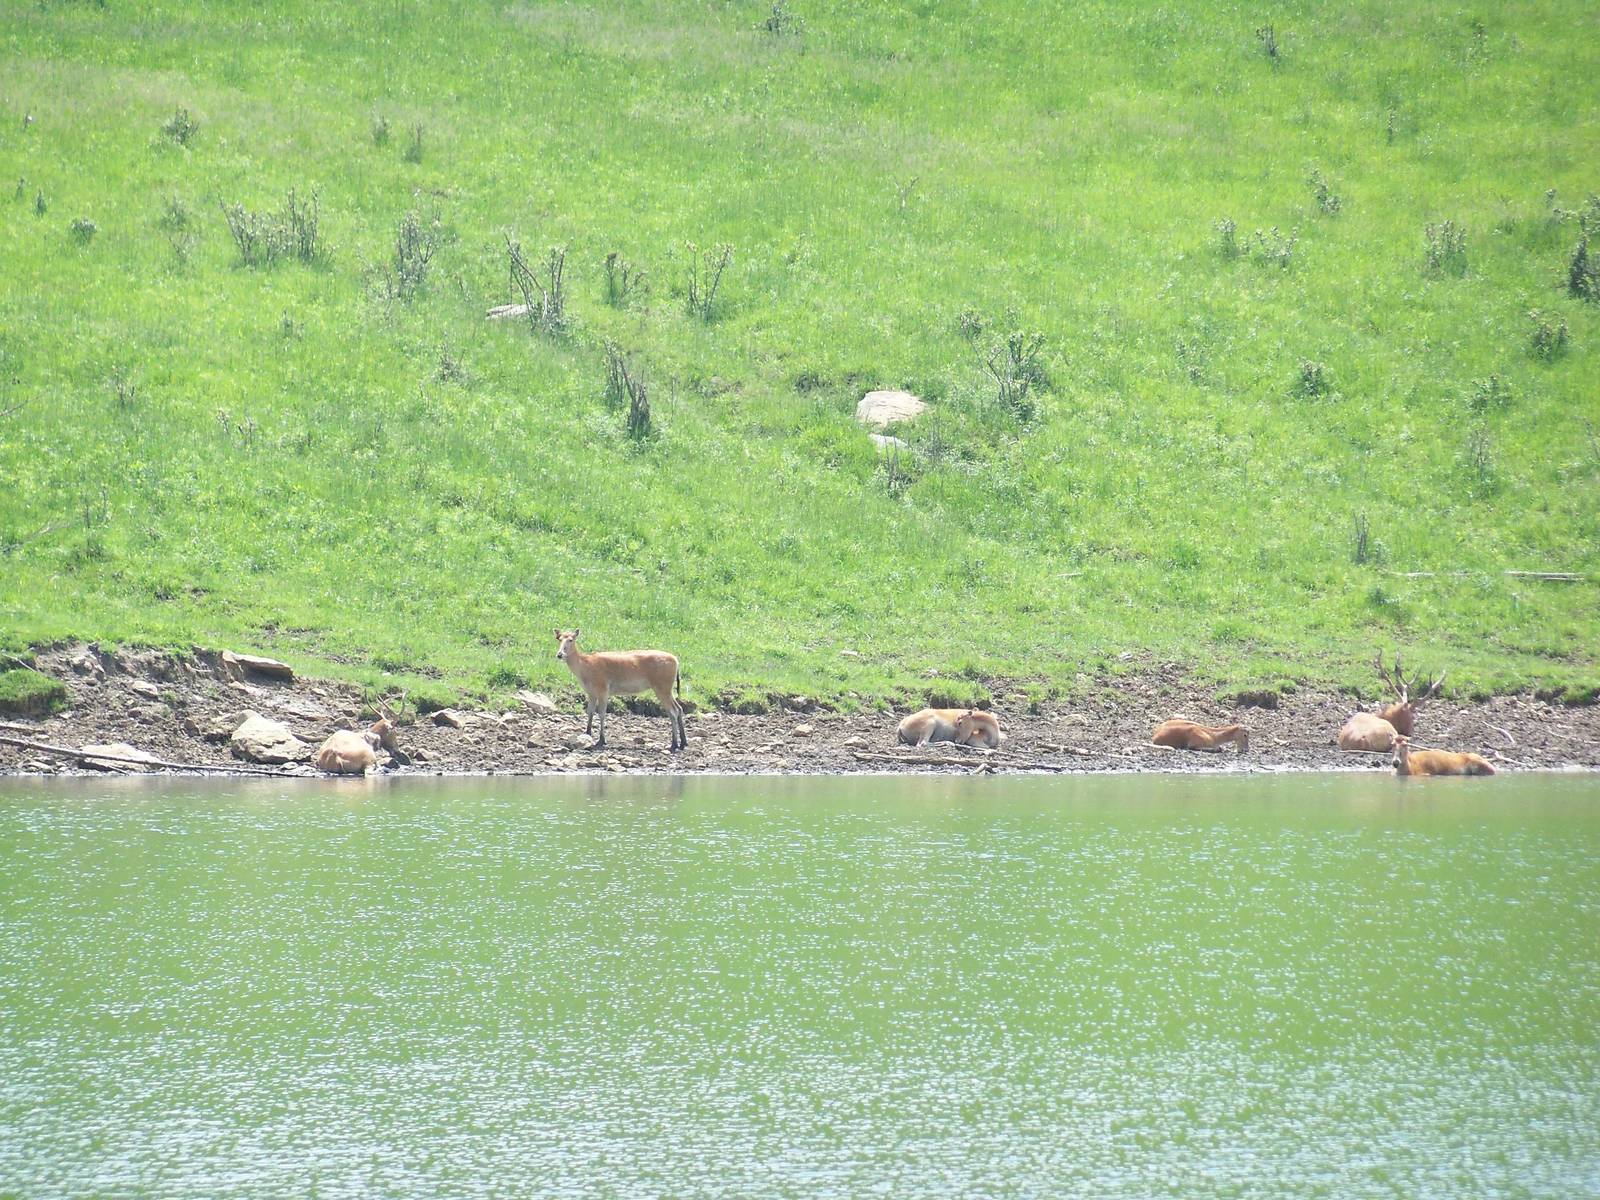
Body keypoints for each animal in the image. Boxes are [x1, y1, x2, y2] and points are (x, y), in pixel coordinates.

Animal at [555, 629, 686, 751]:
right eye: (559, 639)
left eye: (571, 639)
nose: (559, 654)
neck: (584, 669)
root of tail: (677, 661)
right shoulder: (590, 692)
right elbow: (590, 712)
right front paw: (587, 734)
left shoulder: (603, 688)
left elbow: (602, 713)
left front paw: (602, 740)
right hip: (666, 688)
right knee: (679, 708)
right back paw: (683, 743)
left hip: (662, 686)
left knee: (673, 711)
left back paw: (674, 744)